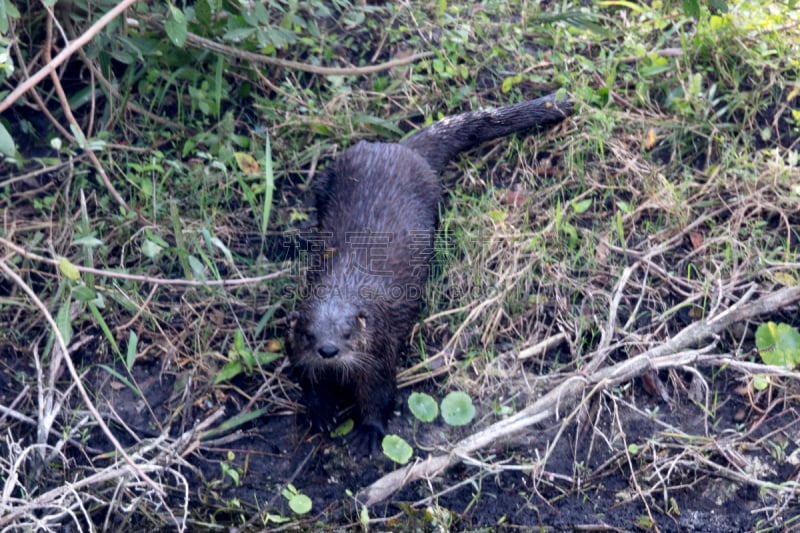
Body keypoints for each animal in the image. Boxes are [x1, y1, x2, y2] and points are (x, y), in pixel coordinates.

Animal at [284, 92, 572, 454]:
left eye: (347, 333)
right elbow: (310, 385)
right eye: (310, 335)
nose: (328, 350)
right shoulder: (299, 355)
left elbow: (379, 396)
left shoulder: (380, 352)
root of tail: (400, 149)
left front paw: (368, 432)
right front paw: (321, 414)